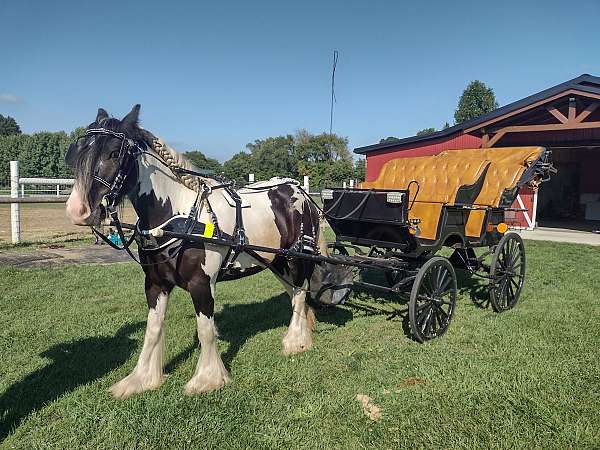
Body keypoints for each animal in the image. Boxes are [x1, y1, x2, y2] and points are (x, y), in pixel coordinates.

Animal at [63, 106, 352, 400]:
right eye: (77, 152)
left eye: (114, 153)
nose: (78, 210)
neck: (179, 216)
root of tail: (299, 190)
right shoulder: (155, 284)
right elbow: (152, 330)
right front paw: (141, 379)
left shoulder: (202, 284)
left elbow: (205, 330)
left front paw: (207, 379)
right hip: (276, 261)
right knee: (294, 294)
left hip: (297, 260)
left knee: (301, 292)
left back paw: (296, 341)